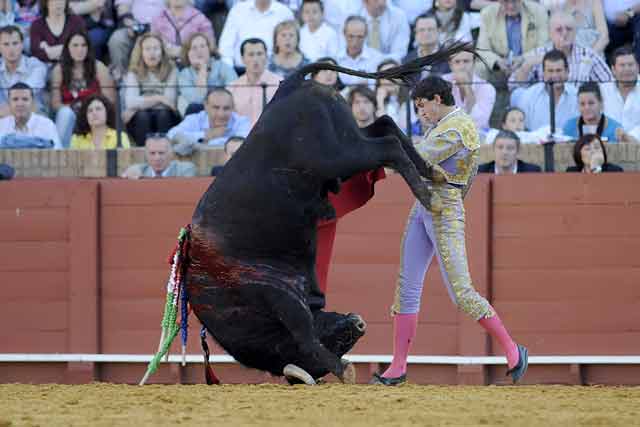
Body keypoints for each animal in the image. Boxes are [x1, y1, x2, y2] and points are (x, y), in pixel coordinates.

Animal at [182, 42, 478, 382]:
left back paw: (429, 196)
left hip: (336, 157)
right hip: (348, 139)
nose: (358, 323)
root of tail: (289, 86)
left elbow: (304, 335)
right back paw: (432, 173)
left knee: (387, 145)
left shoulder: (275, 295)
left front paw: (344, 370)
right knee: (385, 125)